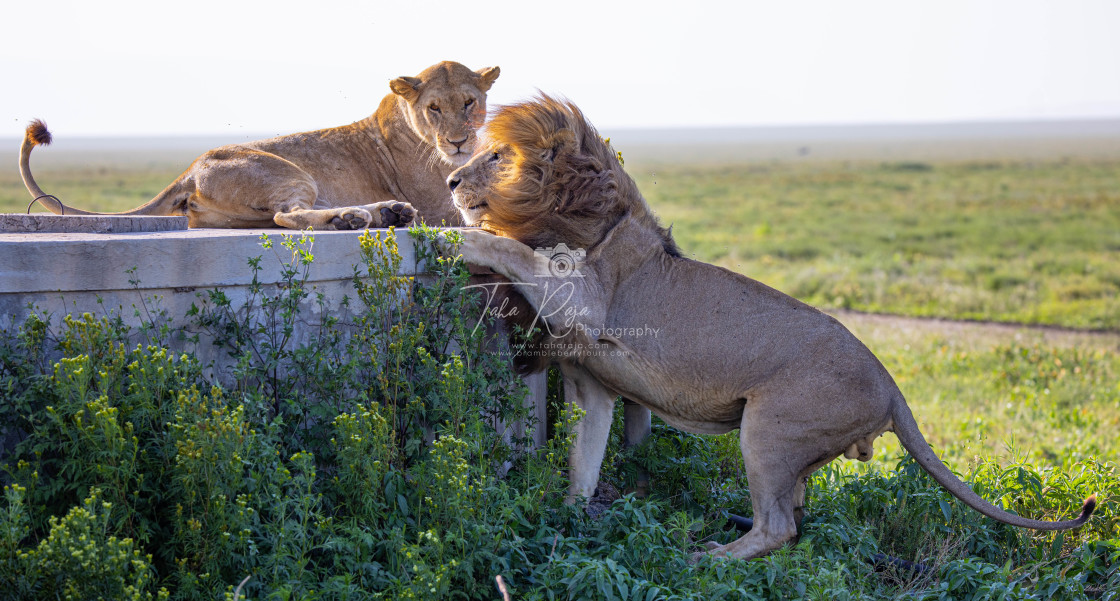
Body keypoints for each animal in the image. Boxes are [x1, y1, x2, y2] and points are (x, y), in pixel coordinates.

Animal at [16, 60, 499, 229]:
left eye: (469, 102)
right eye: (434, 108)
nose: (458, 142)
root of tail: (189, 169)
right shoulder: (443, 210)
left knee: (283, 217)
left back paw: (386, 213)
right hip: (292, 174)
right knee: (288, 215)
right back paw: (351, 218)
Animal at [445, 94, 1093, 557]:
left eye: (496, 157)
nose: (450, 183)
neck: (582, 208)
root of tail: (892, 389)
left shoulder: (582, 301)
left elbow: (502, 245)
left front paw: (450, 237)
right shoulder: (592, 384)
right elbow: (583, 463)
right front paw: (568, 521)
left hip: (769, 429)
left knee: (779, 525)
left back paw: (705, 558)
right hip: (795, 448)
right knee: (797, 516)